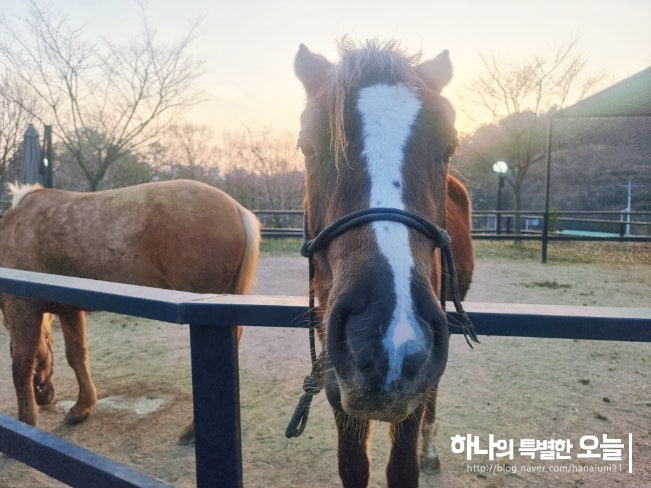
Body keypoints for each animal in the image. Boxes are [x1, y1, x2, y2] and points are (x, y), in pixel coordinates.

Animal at [0, 180, 260, 438]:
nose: (44, 398)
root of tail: (237, 209)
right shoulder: (69, 309)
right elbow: (77, 356)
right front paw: (82, 407)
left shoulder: (23, 309)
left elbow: (21, 366)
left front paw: (27, 422)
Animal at [296, 39, 474, 488]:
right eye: (307, 146)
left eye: (449, 146)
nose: (386, 339)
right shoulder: (334, 371)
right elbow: (352, 465)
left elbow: (402, 468)